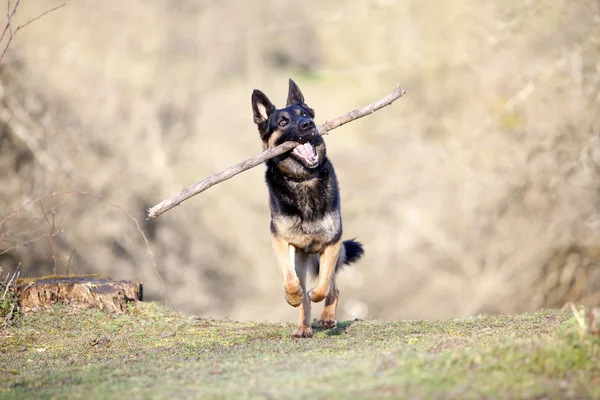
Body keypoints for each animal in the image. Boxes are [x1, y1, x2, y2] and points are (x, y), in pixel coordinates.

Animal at [251, 79, 364, 338]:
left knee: (333, 288)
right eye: (283, 122)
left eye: (304, 115)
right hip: (301, 259)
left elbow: (322, 286)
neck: (303, 180)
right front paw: (293, 297)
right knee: (303, 292)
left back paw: (327, 317)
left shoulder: (332, 243)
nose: (308, 124)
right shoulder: (281, 241)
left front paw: (318, 297)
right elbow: (292, 282)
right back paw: (303, 327)